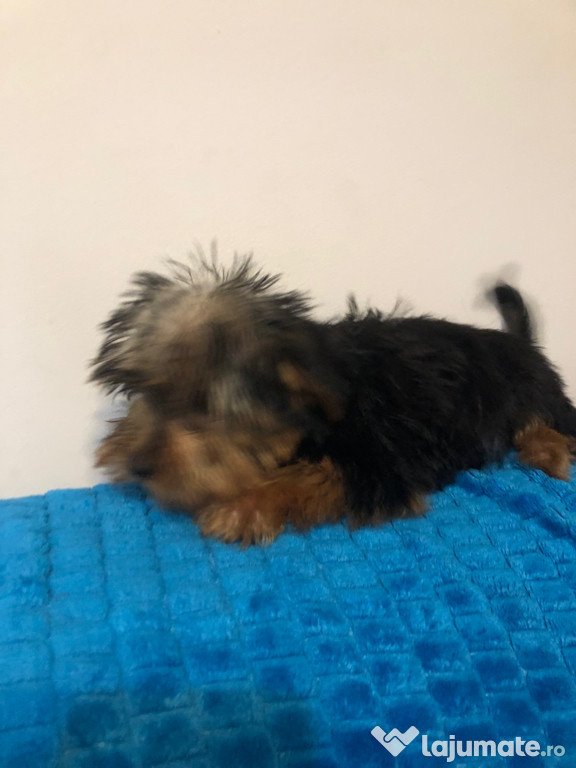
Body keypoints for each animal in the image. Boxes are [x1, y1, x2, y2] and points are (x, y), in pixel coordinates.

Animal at [91, 257, 576, 545]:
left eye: (202, 405)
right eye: (145, 391)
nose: (137, 466)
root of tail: (522, 343)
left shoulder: (381, 459)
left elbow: (317, 473)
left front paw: (243, 507)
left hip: (531, 390)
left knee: (549, 419)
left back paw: (548, 451)